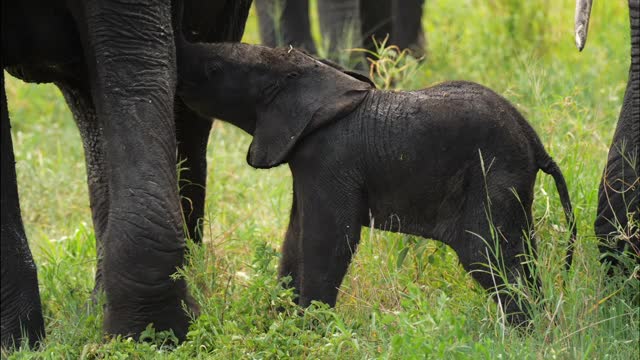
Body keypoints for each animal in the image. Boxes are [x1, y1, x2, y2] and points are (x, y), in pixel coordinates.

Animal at [174, 28, 576, 324]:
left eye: (214, 71)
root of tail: (534, 142)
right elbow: (295, 237)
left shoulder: (331, 160)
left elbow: (329, 239)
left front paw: (308, 332)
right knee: (522, 254)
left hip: (491, 173)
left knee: (488, 255)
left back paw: (525, 333)